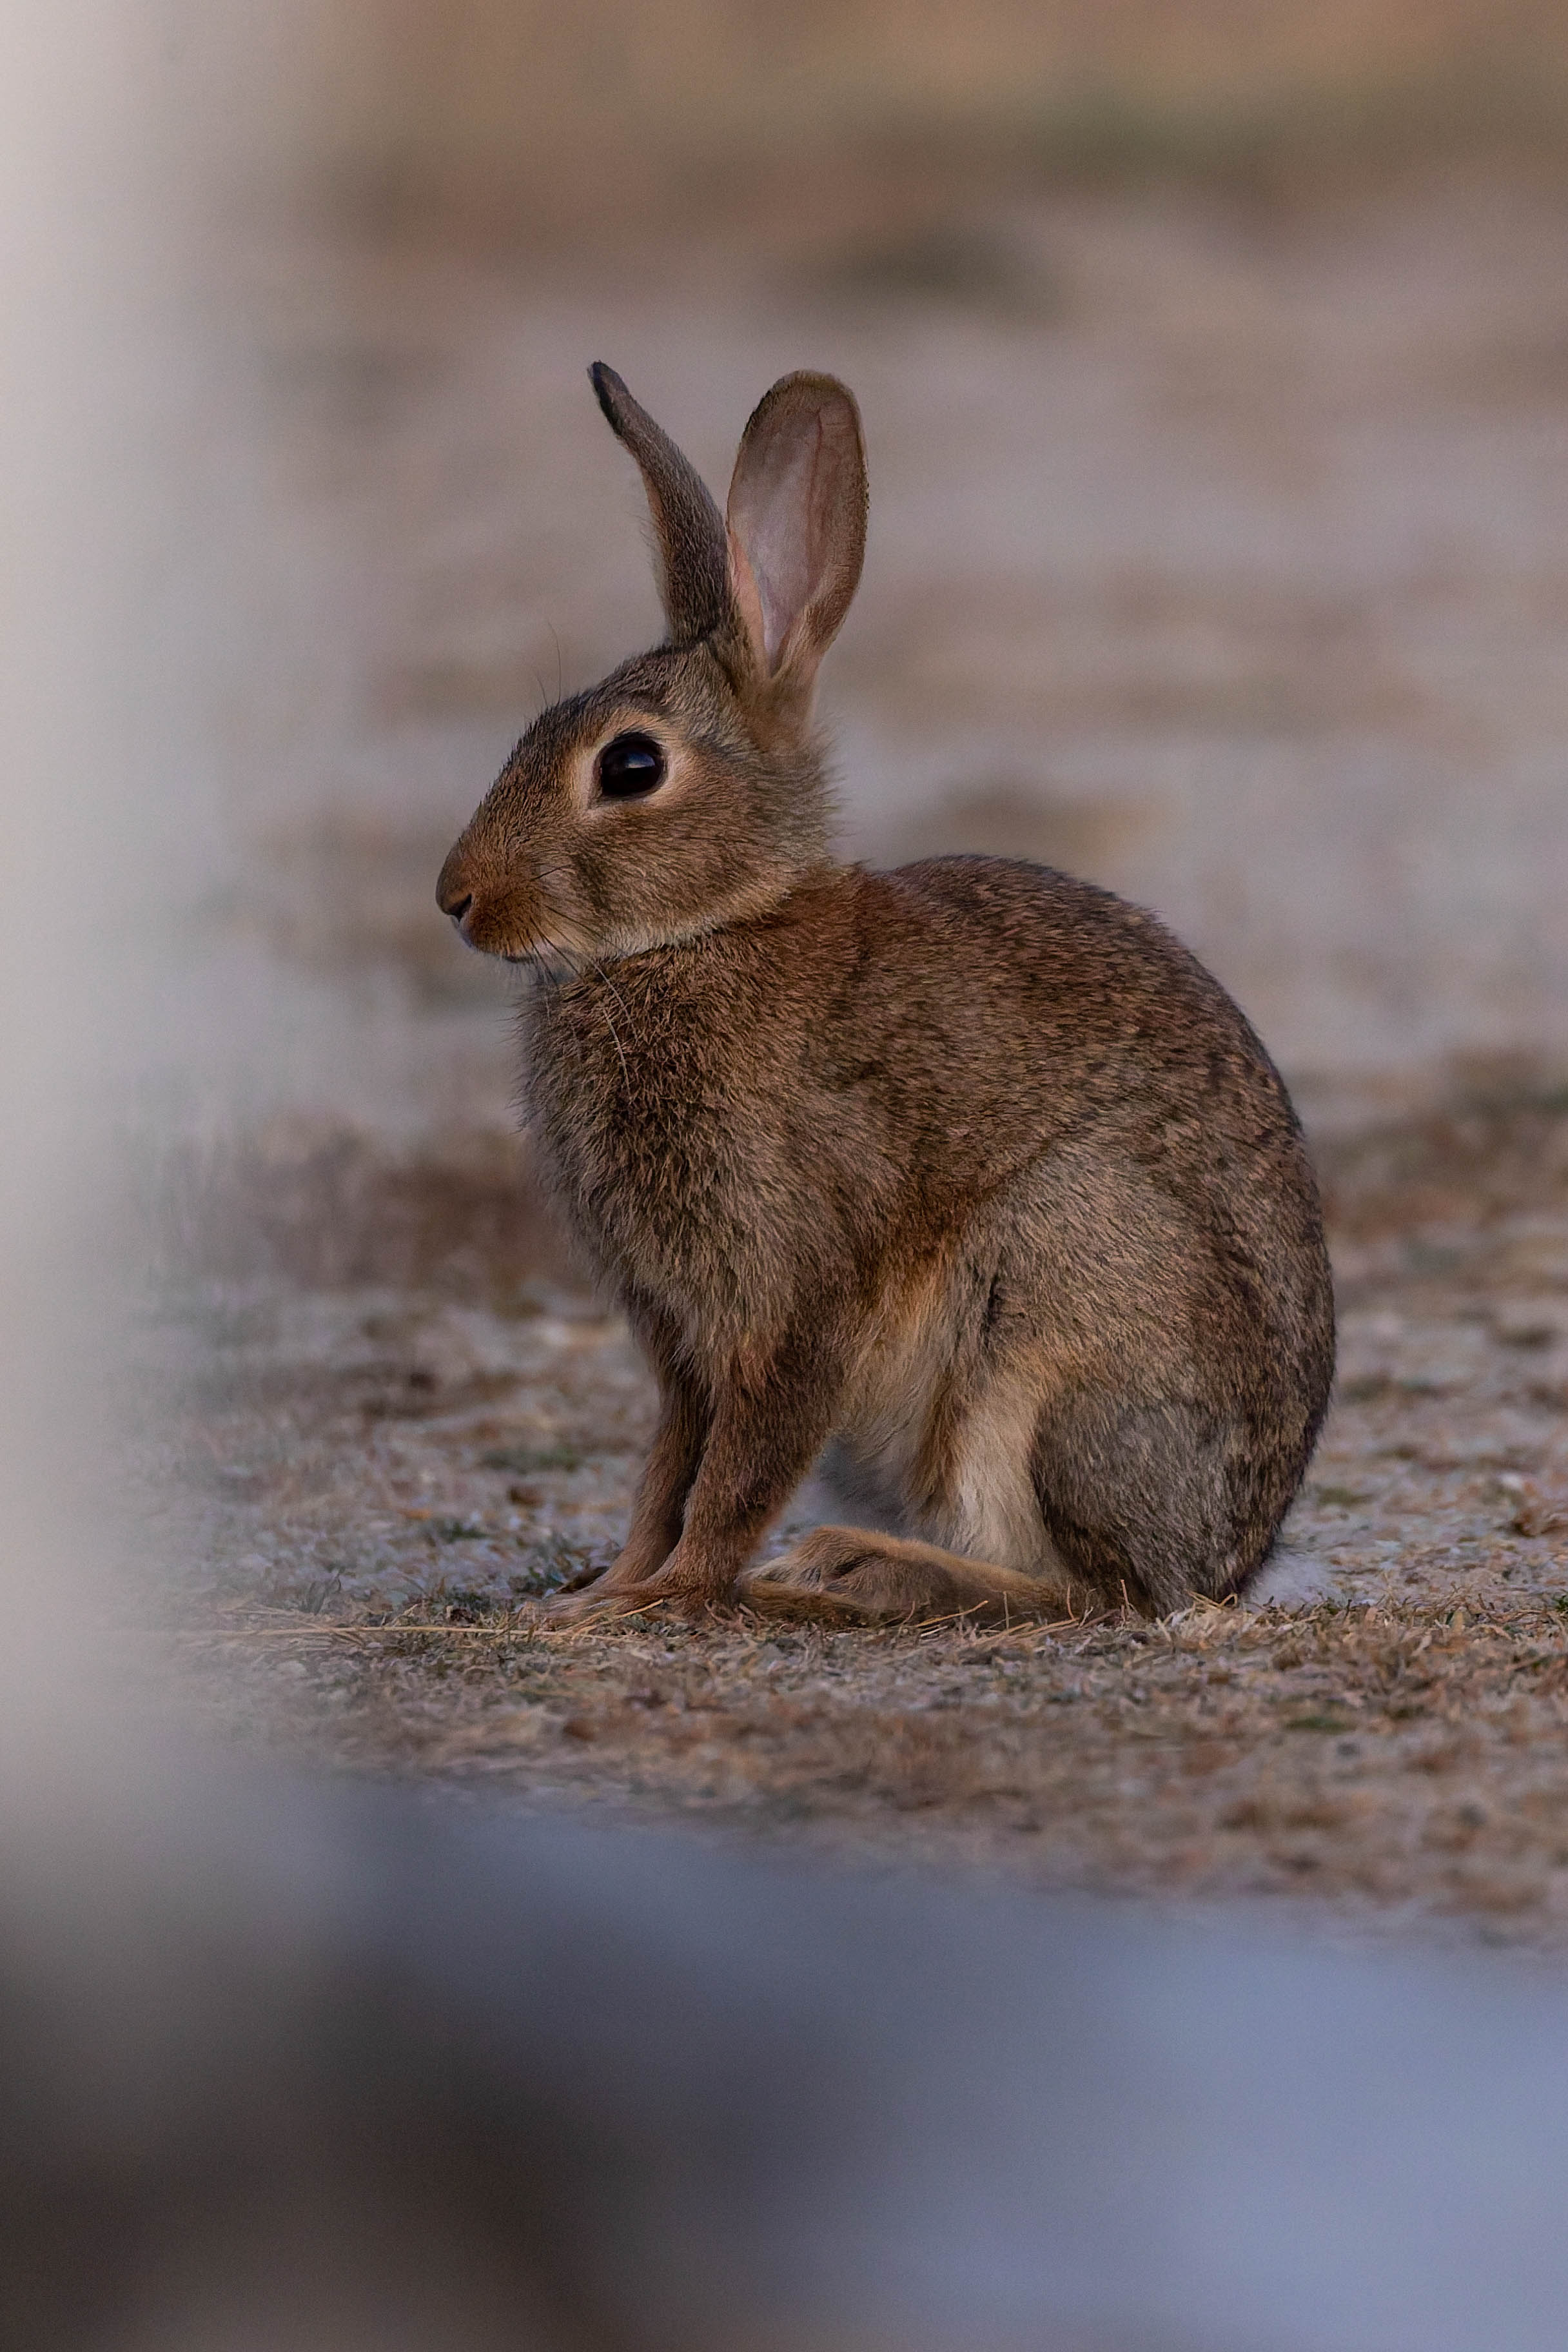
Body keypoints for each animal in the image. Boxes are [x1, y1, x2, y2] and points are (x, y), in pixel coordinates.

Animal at [437, 364, 1335, 1627]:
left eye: (630, 767)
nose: (456, 899)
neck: (704, 930)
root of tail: (1234, 1555)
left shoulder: (800, 1291)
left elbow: (738, 1471)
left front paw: (663, 1597)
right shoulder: (678, 1338)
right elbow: (667, 1469)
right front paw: (606, 1590)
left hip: (1054, 1305)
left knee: (1097, 1593)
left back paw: (850, 1573)